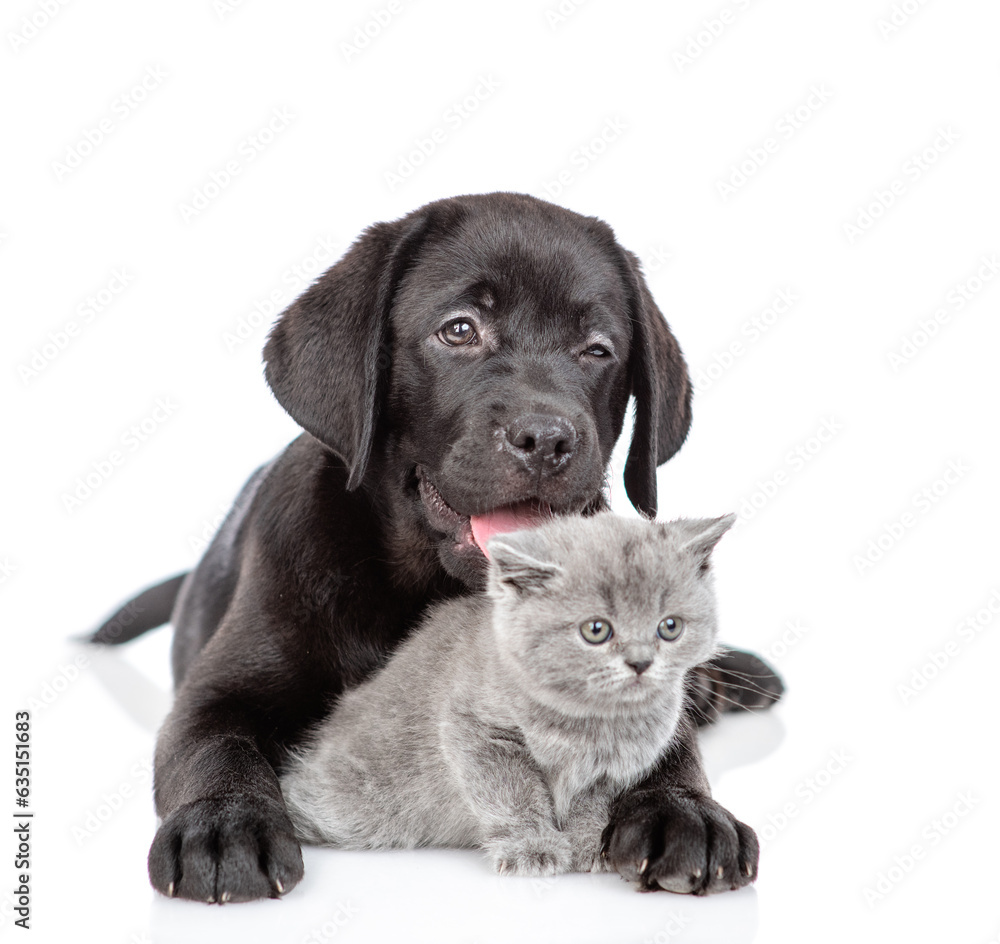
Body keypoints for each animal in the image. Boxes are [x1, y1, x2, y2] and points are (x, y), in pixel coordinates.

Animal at [280, 508, 736, 876]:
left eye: (670, 626)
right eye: (596, 630)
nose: (641, 662)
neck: (593, 720)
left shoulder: (610, 770)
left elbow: (592, 806)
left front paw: (590, 845)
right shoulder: (481, 734)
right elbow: (515, 796)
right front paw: (533, 849)